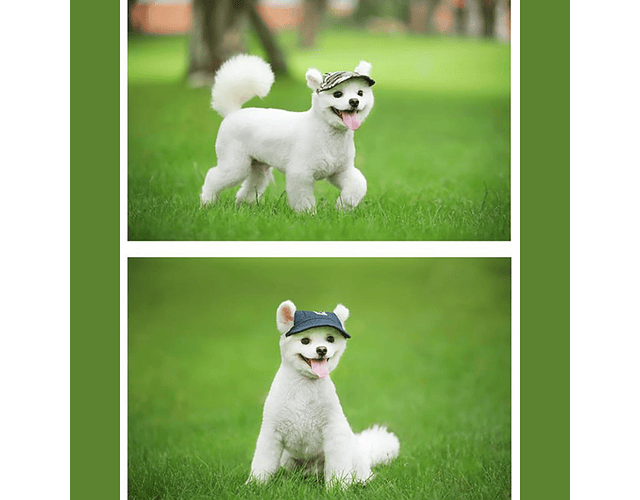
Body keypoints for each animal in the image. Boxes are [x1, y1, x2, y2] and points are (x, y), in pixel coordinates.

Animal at [198, 54, 372, 211]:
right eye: (337, 94)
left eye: (360, 93)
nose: (354, 101)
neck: (328, 133)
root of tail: (233, 112)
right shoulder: (300, 174)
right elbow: (303, 200)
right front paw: (309, 216)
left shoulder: (340, 170)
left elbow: (358, 184)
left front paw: (343, 206)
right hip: (235, 164)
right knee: (213, 176)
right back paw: (207, 202)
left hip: (257, 166)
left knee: (250, 186)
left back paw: (244, 206)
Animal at [248, 300, 398, 488]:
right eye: (305, 340)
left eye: (330, 339)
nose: (321, 349)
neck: (304, 387)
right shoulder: (271, 432)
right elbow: (262, 463)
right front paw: (255, 485)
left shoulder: (333, 431)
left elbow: (337, 468)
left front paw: (337, 488)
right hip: (287, 460)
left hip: (354, 455)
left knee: (363, 472)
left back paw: (360, 481)